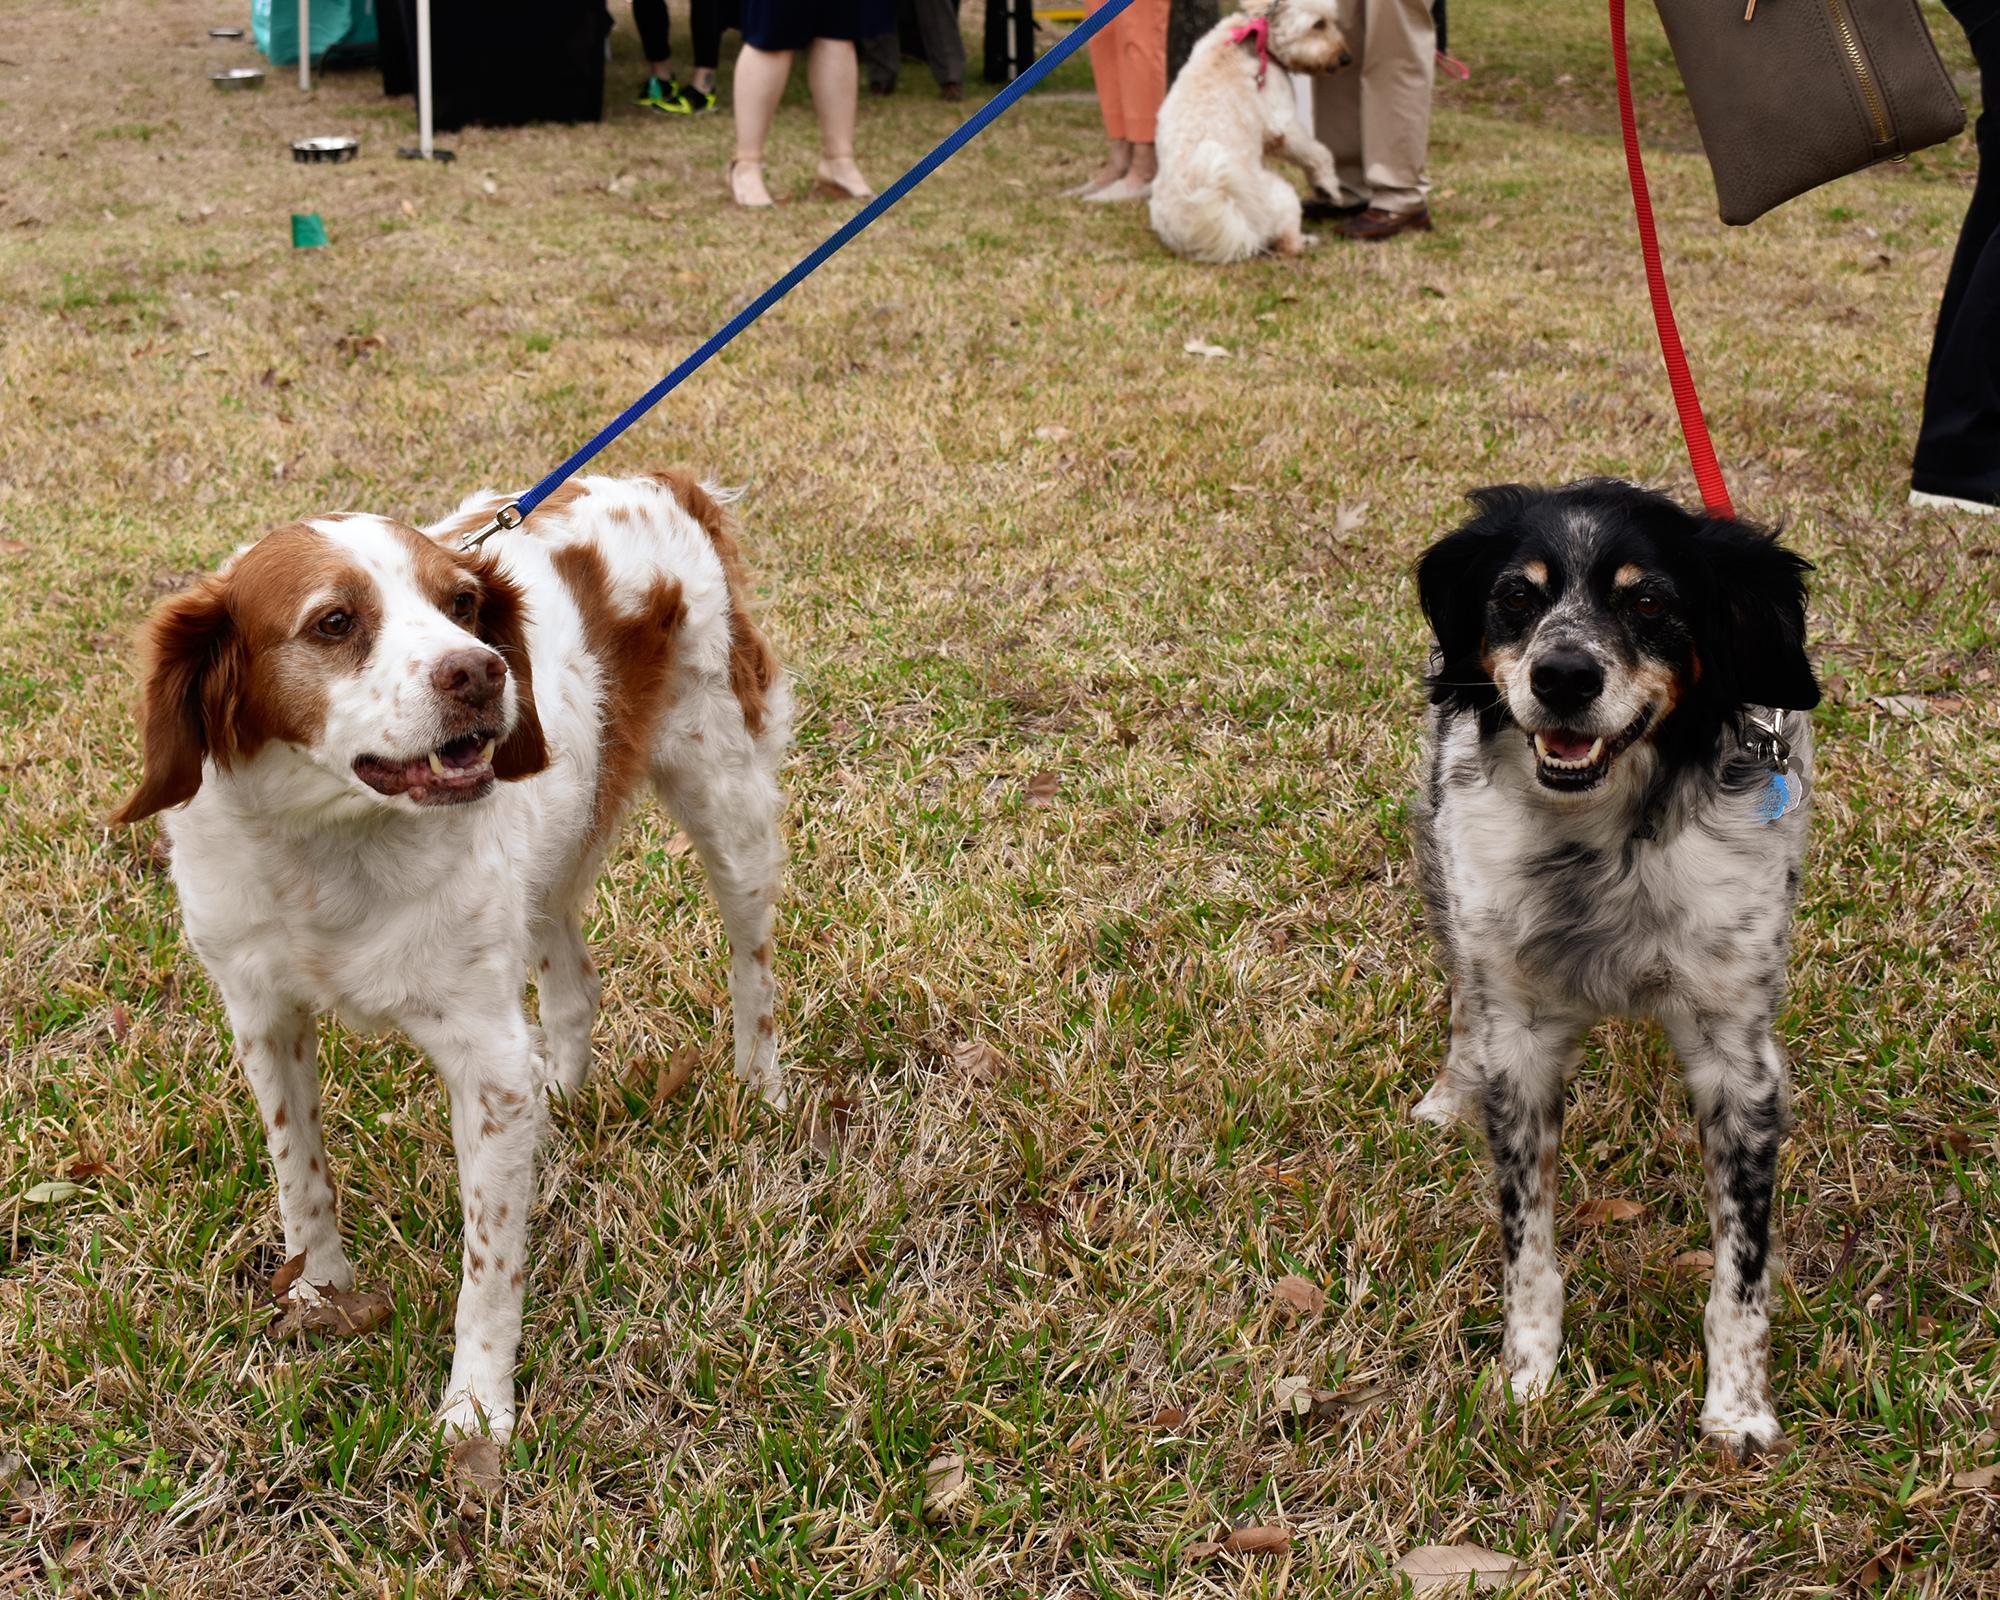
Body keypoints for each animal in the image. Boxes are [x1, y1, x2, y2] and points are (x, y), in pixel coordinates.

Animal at [115, 472, 788, 1440]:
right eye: (333, 622)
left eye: (462, 604)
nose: (481, 670)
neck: (327, 845)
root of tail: (664, 481)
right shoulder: (262, 1013)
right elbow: (300, 1178)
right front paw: (319, 1297)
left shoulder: (485, 1055)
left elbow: (489, 1266)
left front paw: (476, 1409)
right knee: (576, 984)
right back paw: (565, 1096)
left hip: (728, 799)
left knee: (752, 966)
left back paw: (762, 1090)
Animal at [1152, 0, 1352, 262]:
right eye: (1319, 24)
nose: (1346, 58)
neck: (1259, 40)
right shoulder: (1282, 125)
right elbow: (1319, 153)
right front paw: (1328, 187)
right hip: (1282, 196)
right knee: (1287, 244)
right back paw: (1307, 241)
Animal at [1416, 478, 1824, 1464]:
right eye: (1516, 597)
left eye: (1649, 603)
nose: (1563, 676)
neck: (1604, 844)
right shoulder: (1522, 1043)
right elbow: (1527, 1247)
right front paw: (1527, 1376)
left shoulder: (1740, 1065)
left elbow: (1741, 1272)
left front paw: (1738, 1407)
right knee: (1462, 998)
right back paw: (1448, 1093)